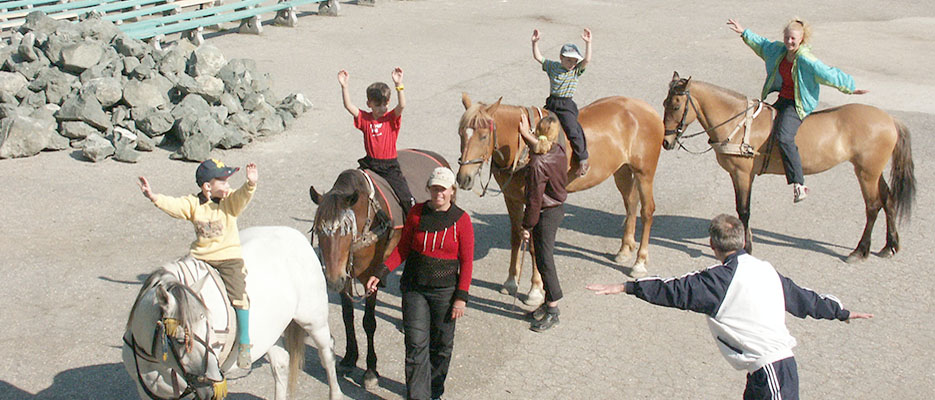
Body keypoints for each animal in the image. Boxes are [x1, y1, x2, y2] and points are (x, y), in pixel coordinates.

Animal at [121, 227, 344, 398]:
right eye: (180, 339)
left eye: (209, 328)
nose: (212, 385)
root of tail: (295, 235)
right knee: (281, 363)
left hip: (314, 321)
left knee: (327, 354)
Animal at [308, 148, 448, 390]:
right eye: (318, 229)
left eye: (346, 230)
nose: (332, 280)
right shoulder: (345, 277)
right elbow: (347, 316)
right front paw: (349, 358)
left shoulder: (368, 277)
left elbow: (369, 322)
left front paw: (371, 370)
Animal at [456, 93, 660, 300]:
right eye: (460, 134)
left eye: (483, 136)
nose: (464, 178)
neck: (523, 148)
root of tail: (646, 108)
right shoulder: (511, 198)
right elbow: (516, 236)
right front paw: (511, 280)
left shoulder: (536, 200)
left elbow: (534, 246)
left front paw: (535, 289)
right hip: (622, 170)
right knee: (631, 204)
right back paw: (625, 249)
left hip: (644, 173)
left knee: (647, 211)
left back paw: (639, 262)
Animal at [660, 71, 916, 260]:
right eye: (664, 103)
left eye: (676, 106)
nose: (666, 141)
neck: (739, 123)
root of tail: (889, 119)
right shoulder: (739, 175)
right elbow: (742, 210)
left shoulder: (742, 174)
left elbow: (744, 210)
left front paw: (747, 247)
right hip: (873, 171)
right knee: (888, 199)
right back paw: (890, 246)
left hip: (866, 173)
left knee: (873, 206)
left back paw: (860, 250)